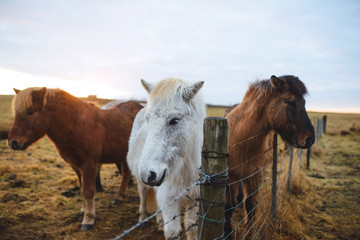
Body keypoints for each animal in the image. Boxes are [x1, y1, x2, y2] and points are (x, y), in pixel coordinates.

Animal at [7, 87, 143, 230]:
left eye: (30, 112)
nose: (13, 142)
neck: (77, 125)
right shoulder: (77, 166)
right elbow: (82, 188)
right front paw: (84, 210)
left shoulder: (89, 165)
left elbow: (88, 191)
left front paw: (88, 219)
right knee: (126, 174)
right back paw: (119, 197)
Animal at [127, 78, 207, 239]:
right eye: (148, 119)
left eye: (175, 120)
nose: (148, 173)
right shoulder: (169, 199)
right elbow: (172, 232)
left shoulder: (195, 199)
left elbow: (191, 229)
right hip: (141, 182)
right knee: (143, 194)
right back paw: (142, 218)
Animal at [224, 76, 314, 237]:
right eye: (290, 102)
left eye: (304, 103)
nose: (310, 139)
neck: (242, 139)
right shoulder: (230, 178)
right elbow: (229, 208)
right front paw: (226, 233)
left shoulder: (254, 176)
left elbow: (250, 206)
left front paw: (249, 232)